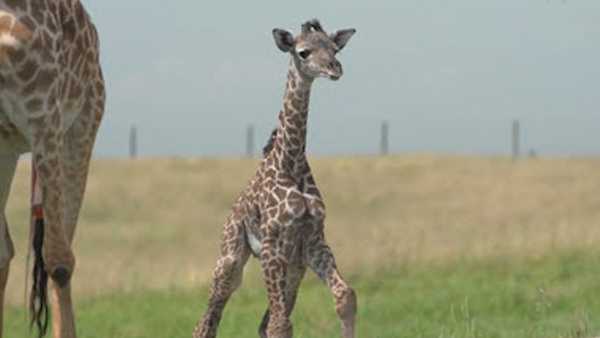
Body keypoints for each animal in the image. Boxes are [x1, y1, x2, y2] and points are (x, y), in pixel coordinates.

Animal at [193, 19, 356, 338]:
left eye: (334, 48)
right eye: (303, 52)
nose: (334, 68)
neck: (290, 163)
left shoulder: (313, 241)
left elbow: (345, 297)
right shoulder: (271, 247)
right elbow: (280, 323)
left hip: (295, 268)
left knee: (263, 322)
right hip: (231, 258)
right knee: (207, 321)